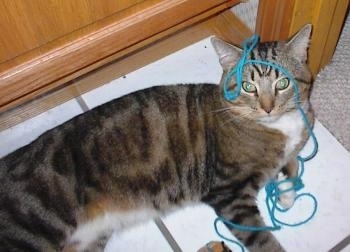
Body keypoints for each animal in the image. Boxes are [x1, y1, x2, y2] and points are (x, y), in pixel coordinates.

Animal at [0, 24, 312, 252]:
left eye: (283, 82)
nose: (268, 107)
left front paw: (286, 191)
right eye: (248, 86)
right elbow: (263, 239)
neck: (276, 126)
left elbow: (293, 162)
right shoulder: (229, 192)